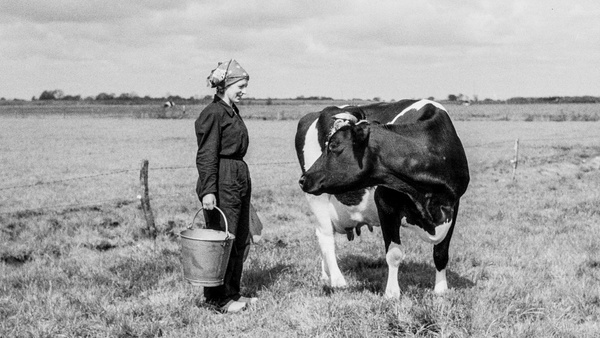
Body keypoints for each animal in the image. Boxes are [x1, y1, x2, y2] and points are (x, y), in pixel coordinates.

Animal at [296, 99, 468, 298]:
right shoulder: (385, 205)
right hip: (318, 199)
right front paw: (392, 293)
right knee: (325, 237)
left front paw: (441, 290)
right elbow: (394, 253)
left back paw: (326, 276)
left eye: (333, 146)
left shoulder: (453, 205)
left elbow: (441, 252)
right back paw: (338, 281)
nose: (303, 179)